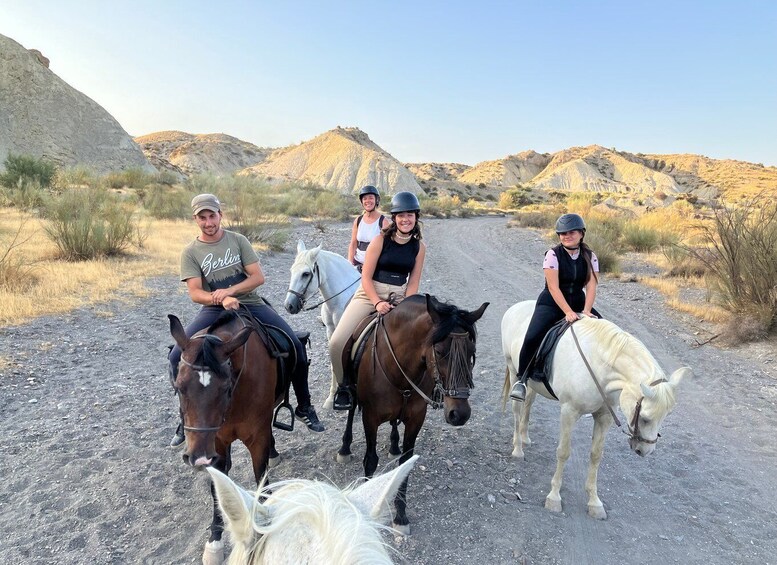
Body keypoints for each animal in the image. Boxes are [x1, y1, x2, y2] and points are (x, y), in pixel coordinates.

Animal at [168, 310, 284, 560]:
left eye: (225, 387)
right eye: (179, 387)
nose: (198, 457)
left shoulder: (258, 438)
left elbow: (261, 480)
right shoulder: (217, 443)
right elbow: (217, 489)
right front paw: (215, 542)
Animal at [284, 240, 360, 408]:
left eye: (306, 274)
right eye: (291, 270)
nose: (289, 306)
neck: (340, 301)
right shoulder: (331, 332)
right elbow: (334, 362)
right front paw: (332, 398)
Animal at [336, 296, 488, 532]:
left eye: (472, 353)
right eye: (440, 351)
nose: (460, 414)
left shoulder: (416, 418)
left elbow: (405, 464)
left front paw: (400, 516)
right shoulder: (370, 417)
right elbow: (370, 460)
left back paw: (393, 445)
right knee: (351, 412)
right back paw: (345, 447)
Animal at [504, 302, 692, 516]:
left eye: (666, 416)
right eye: (645, 418)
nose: (646, 451)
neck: (599, 366)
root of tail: (516, 307)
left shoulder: (604, 416)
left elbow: (596, 455)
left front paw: (594, 502)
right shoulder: (569, 412)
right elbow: (563, 452)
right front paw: (554, 497)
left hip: (533, 384)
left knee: (528, 402)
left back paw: (524, 437)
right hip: (514, 370)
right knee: (517, 408)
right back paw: (518, 448)